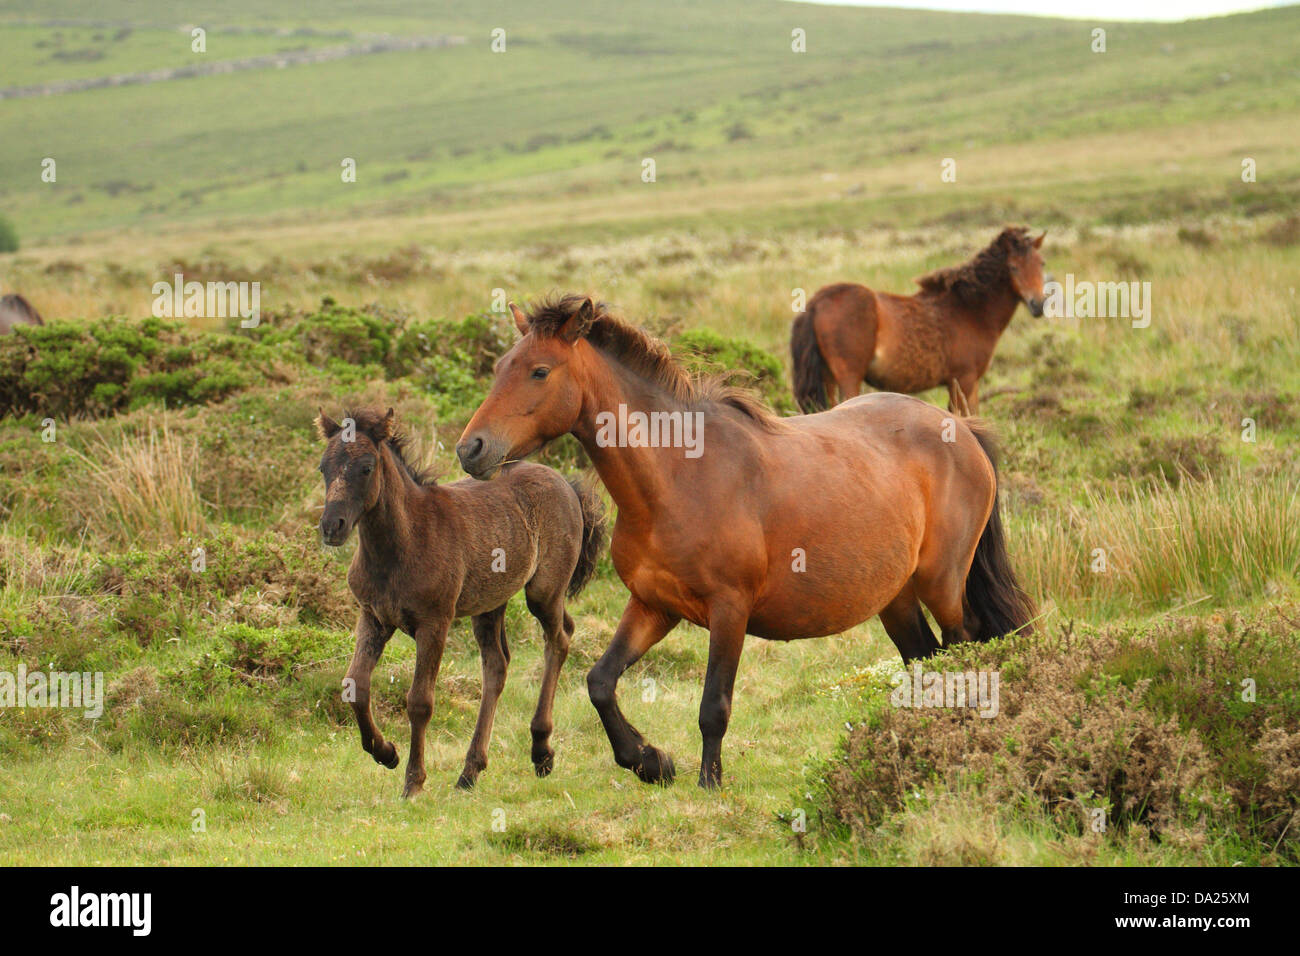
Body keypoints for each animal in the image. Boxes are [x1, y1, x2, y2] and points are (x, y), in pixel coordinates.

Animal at [316, 406, 606, 797]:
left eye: (366, 467)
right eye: (323, 467)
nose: (332, 526)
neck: (401, 544)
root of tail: (565, 484)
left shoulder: (434, 623)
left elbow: (420, 701)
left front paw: (413, 781)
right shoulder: (373, 618)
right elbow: (355, 687)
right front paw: (385, 753)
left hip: (543, 591)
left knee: (558, 639)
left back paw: (541, 751)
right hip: (490, 603)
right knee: (497, 665)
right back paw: (470, 771)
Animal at [456, 295, 1034, 789]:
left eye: (539, 371)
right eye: (499, 367)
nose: (471, 449)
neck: (679, 477)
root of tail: (959, 427)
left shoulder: (729, 610)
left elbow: (714, 705)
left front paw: (708, 782)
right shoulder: (652, 606)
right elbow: (600, 682)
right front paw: (649, 761)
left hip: (943, 585)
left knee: (965, 649)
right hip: (896, 600)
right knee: (925, 659)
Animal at [791, 226, 1047, 415]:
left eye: (1042, 263)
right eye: (1013, 267)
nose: (1038, 304)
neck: (969, 309)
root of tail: (817, 301)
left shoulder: (955, 384)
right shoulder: (966, 381)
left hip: (828, 379)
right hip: (849, 378)